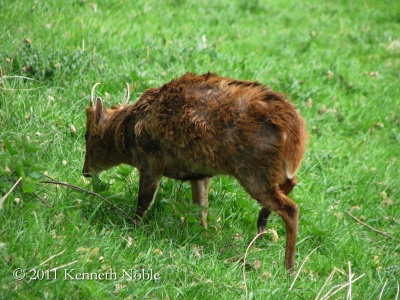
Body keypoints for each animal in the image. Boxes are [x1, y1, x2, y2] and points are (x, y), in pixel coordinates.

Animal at [81, 71, 306, 270]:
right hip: (268, 170)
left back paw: (288, 267)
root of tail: (295, 130)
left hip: (253, 171)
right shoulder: (199, 174)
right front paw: (202, 236)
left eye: (87, 135)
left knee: (291, 208)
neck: (127, 132)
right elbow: (201, 209)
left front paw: (132, 228)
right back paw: (262, 224)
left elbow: (143, 202)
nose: (85, 171)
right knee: (291, 182)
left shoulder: (151, 161)